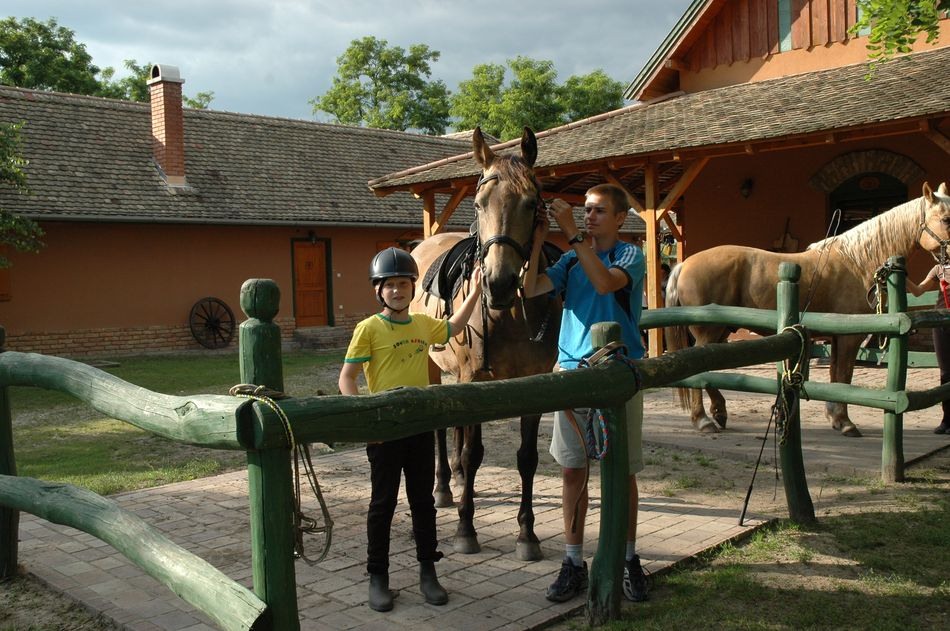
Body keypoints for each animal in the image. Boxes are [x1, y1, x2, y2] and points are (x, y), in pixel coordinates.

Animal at [410, 126, 561, 561]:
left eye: (531, 203)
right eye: (478, 204)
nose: (498, 283)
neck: (506, 314)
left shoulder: (533, 386)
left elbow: (526, 458)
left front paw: (527, 534)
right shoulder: (472, 379)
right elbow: (473, 453)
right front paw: (465, 529)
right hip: (432, 370)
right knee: (444, 432)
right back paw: (445, 488)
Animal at [665, 181, 950, 437]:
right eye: (946, 219)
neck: (857, 261)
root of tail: (684, 264)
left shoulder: (838, 338)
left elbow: (837, 376)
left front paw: (835, 418)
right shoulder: (850, 337)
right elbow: (843, 377)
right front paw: (845, 423)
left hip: (722, 331)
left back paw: (719, 412)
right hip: (709, 331)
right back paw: (703, 420)